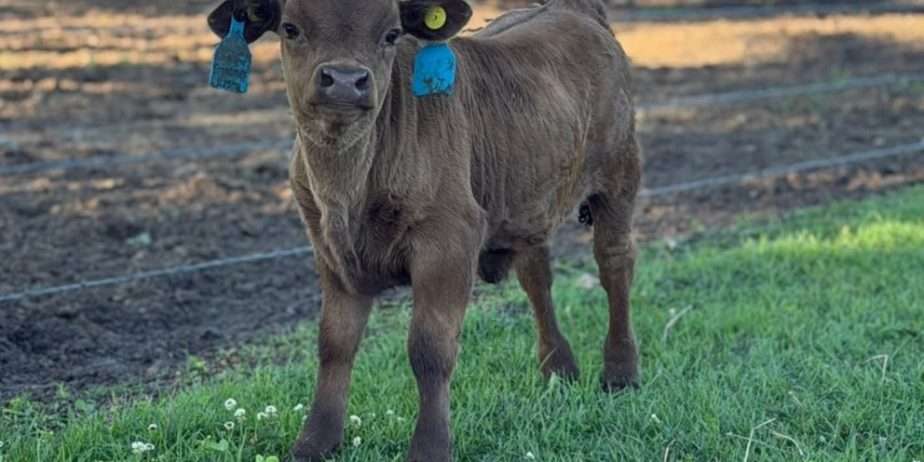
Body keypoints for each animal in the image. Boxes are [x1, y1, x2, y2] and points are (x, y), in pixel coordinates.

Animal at [207, 0, 642, 460]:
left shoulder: (448, 241)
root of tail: (571, 10)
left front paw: (430, 446)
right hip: (525, 199)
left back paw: (620, 372)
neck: (348, 187)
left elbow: (429, 349)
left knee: (614, 264)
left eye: (391, 34)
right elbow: (334, 343)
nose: (344, 80)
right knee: (536, 275)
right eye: (290, 28)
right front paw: (315, 441)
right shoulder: (329, 247)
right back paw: (559, 370)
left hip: (620, 175)